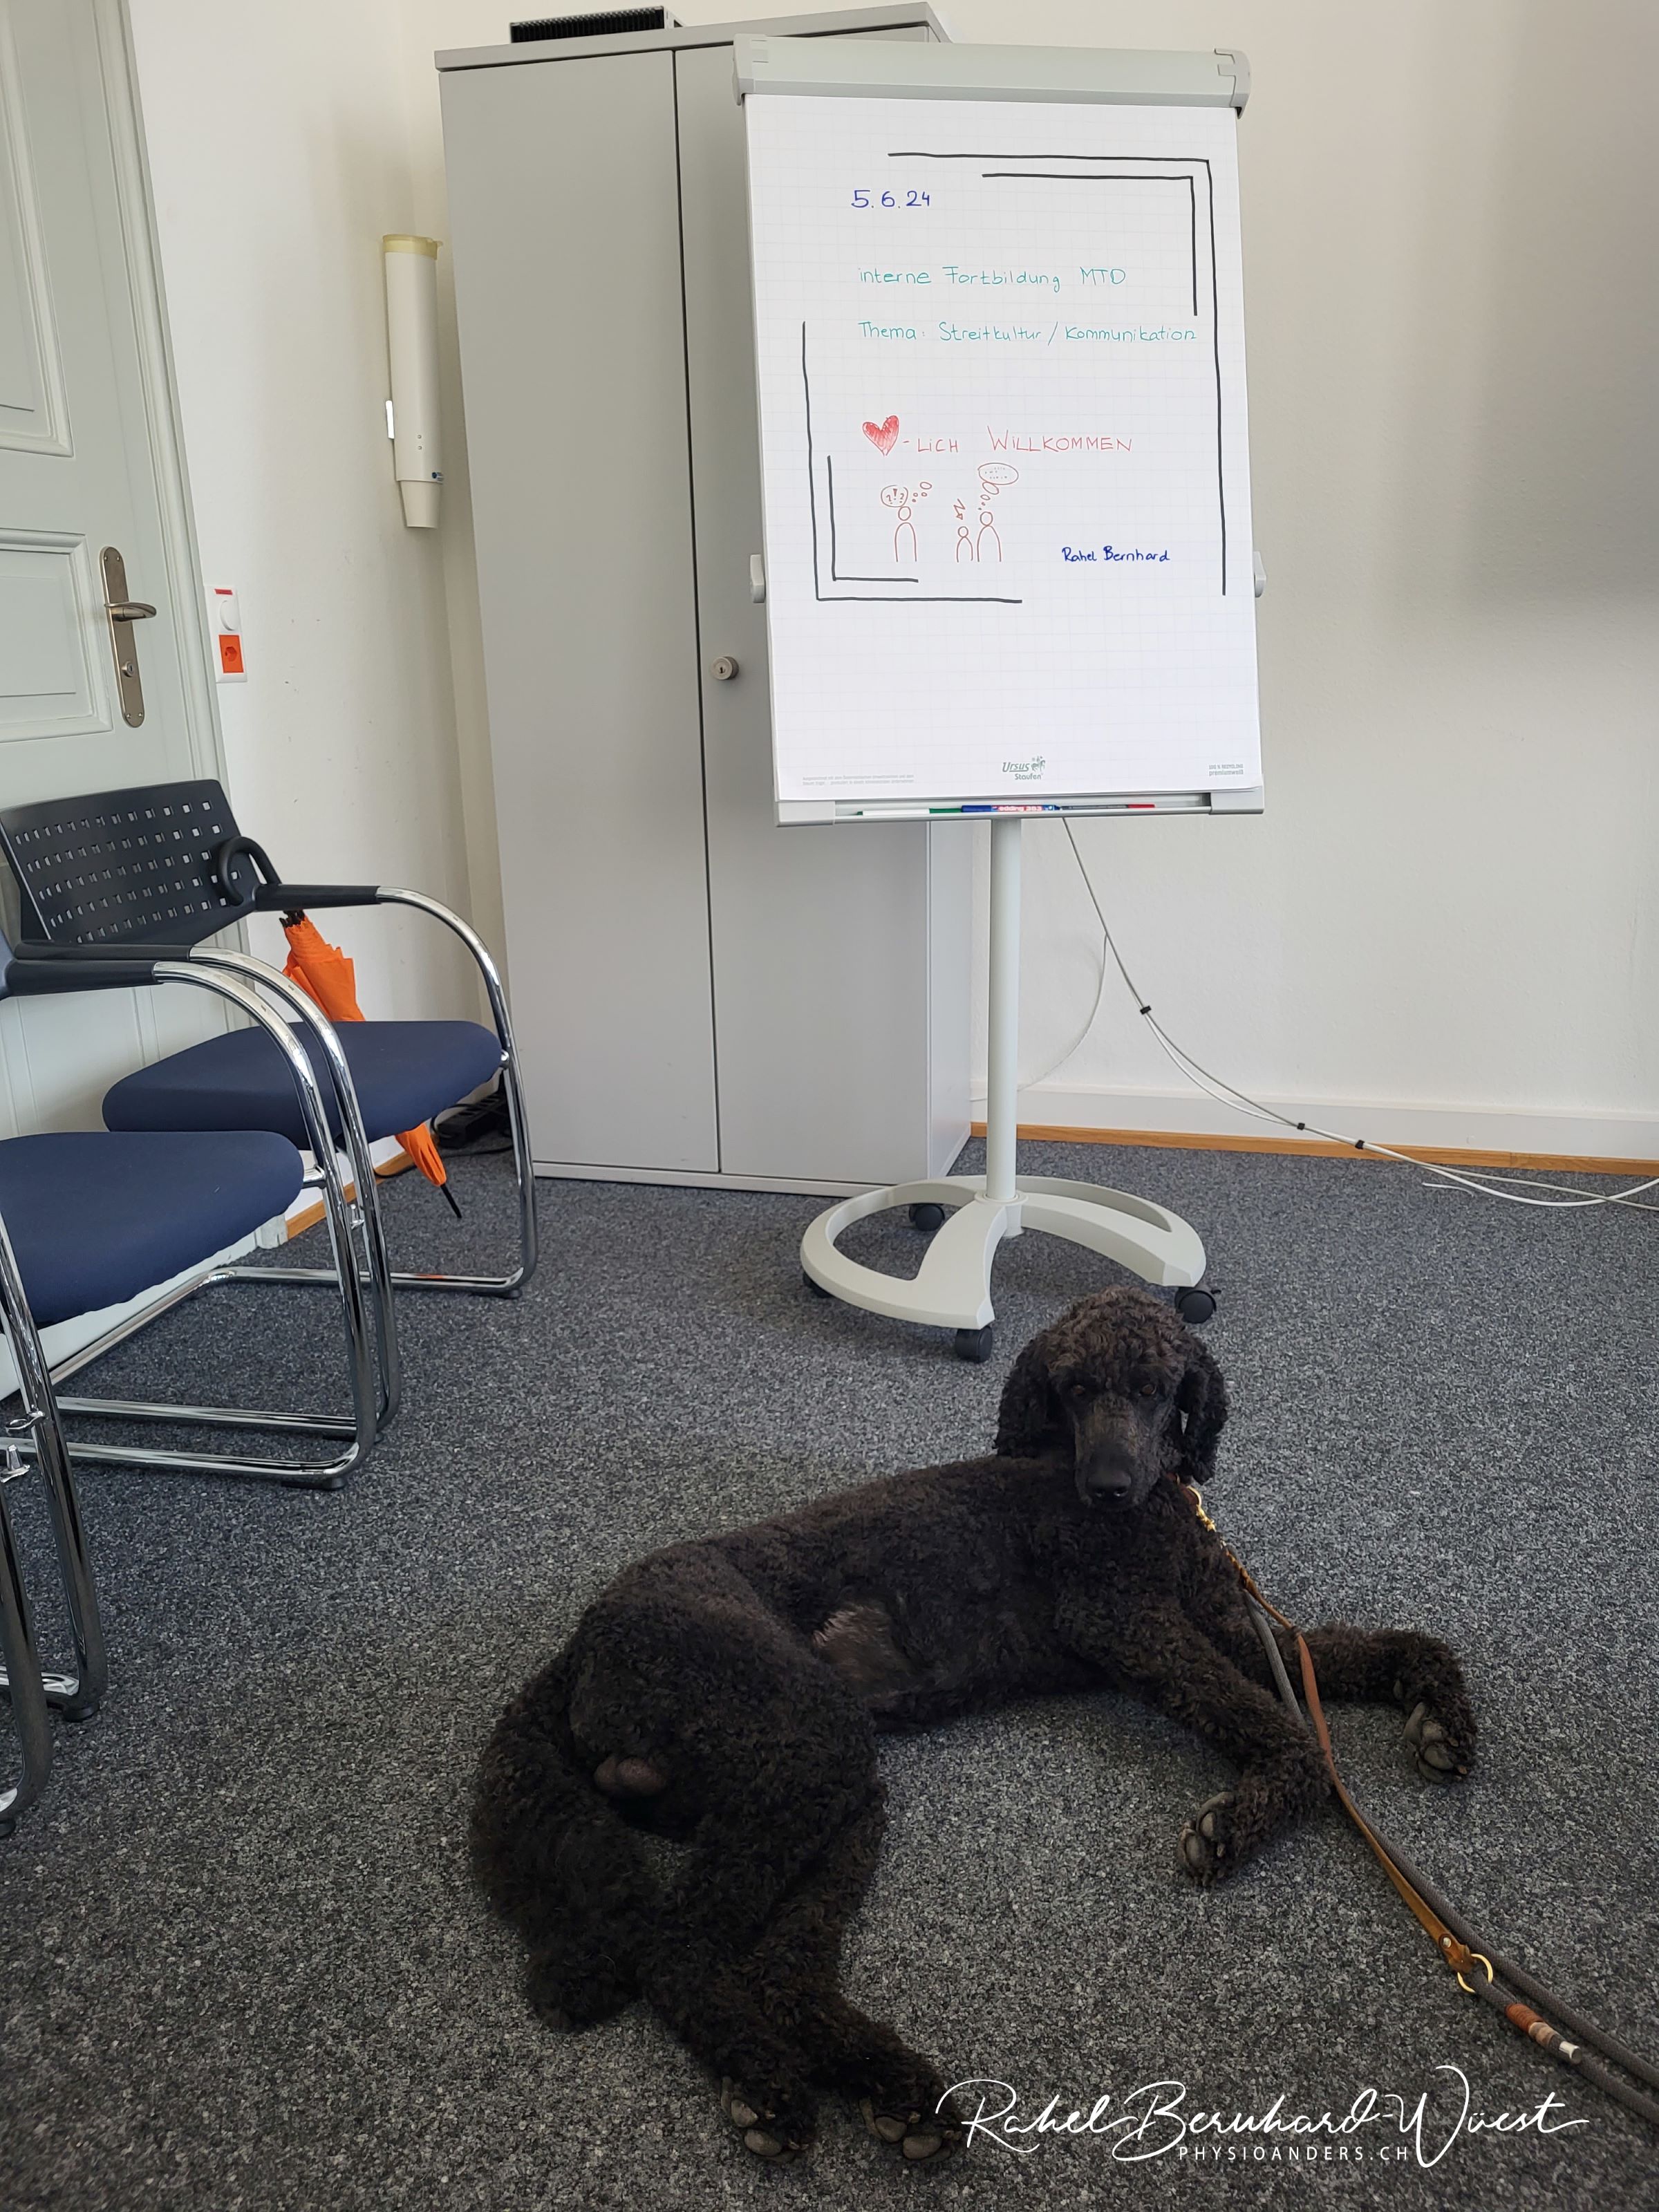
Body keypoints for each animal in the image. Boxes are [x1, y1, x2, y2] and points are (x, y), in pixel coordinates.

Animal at [472, 1286, 1475, 2164]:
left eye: (1159, 1386)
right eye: (1073, 1385)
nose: (1108, 1487)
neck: (1155, 1507)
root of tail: (580, 1643)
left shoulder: (1228, 1622)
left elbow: (1377, 1649)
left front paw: (1442, 1718)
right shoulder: (1125, 1620)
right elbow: (1288, 1731)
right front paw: (1239, 1819)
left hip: (824, 1782)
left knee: (781, 1968)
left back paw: (892, 2086)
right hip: (801, 1734)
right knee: (678, 1944)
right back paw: (770, 2087)